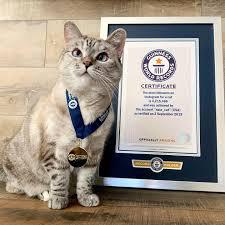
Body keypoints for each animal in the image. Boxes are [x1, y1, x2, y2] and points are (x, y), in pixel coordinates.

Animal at [1, 21, 126, 209]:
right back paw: (45, 194)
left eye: (102, 57)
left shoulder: (93, 153)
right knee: (21, 186)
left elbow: (85, 181)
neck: (85, 104)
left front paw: (85, 198)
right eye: (77, 53)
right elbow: (59, 179)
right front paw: (59, 200)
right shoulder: (54, 151)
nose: (86, 62)